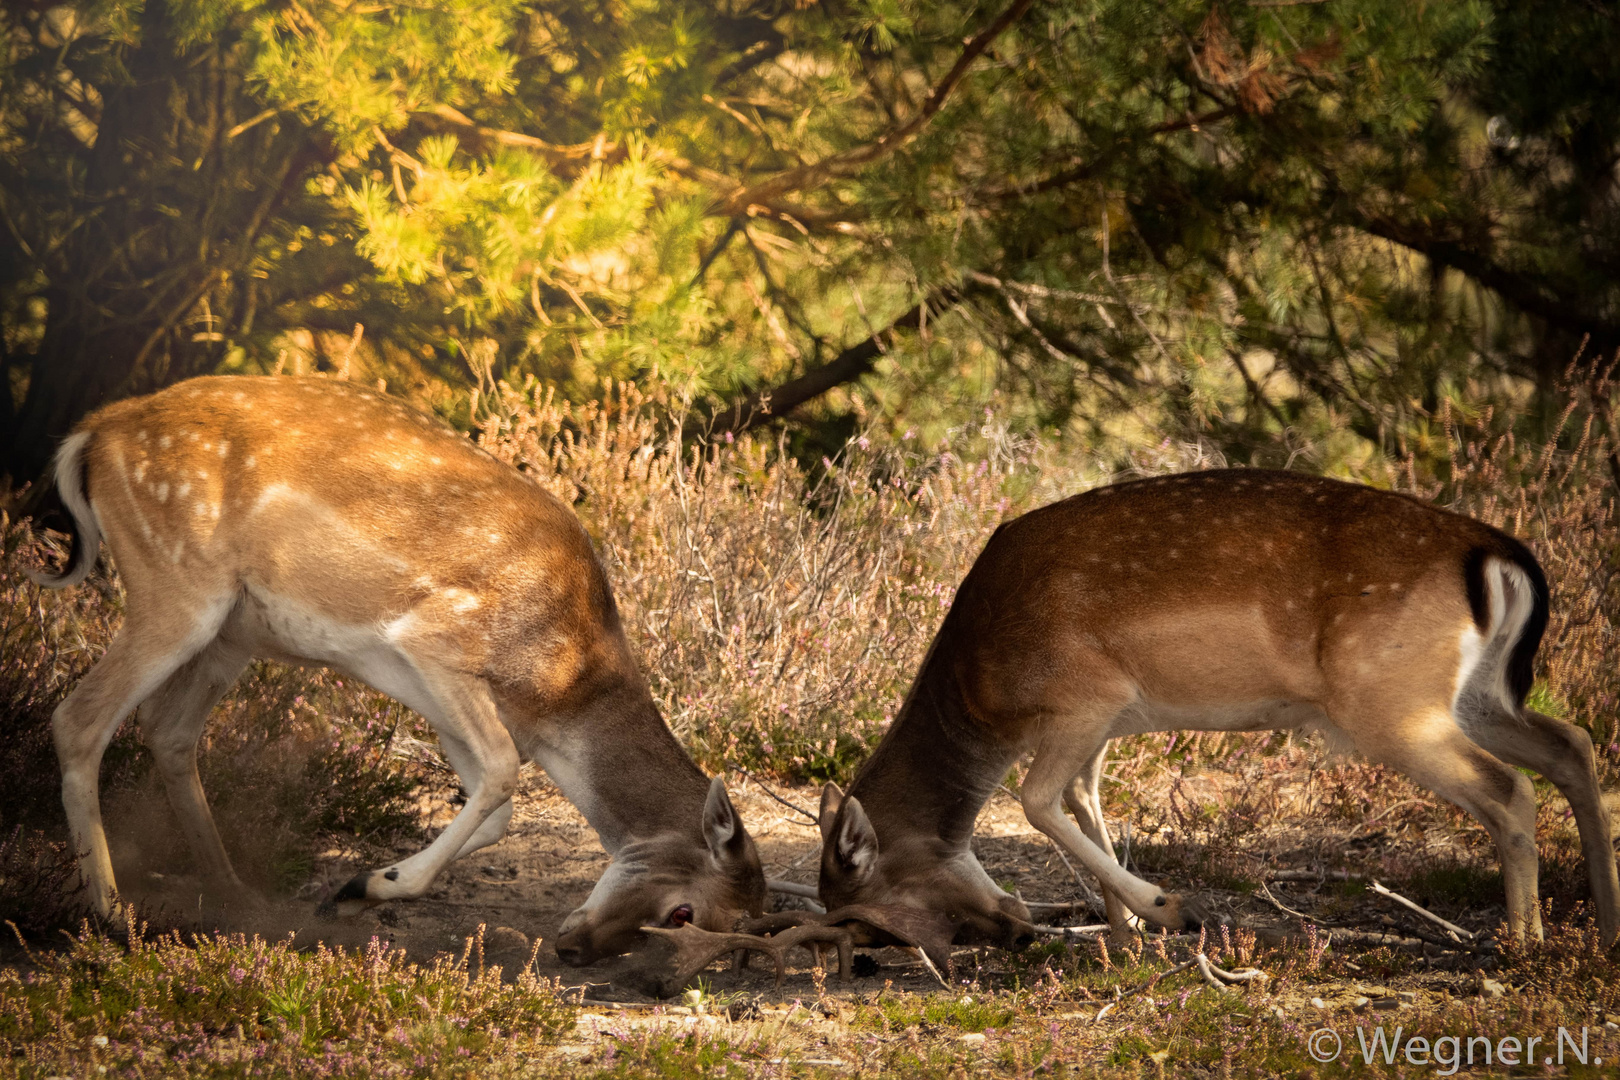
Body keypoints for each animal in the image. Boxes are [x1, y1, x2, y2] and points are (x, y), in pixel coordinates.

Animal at [31, 375, 764, 965]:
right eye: (685, 913)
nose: (576, 950)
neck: (559, 691)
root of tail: (93, 434)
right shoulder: (434, 639)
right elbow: (502, 775)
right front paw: (363, 885)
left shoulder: (440, 697)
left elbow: (493, 804)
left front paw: (356, 892)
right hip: (176, 586)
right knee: (78, 718)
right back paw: (113, 917)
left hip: (232, 632)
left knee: (167, 728)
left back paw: (233, 893)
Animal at [816, 469, 1620, 945]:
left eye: (864, 916)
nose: (1012, 931)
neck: (982, 689)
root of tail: (1498, 555)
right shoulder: (1105, 722)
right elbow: (1083, 798)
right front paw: (1124, 940)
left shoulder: (1088, 696)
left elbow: (1039, 800)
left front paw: (1168, 909)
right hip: (1477, 692)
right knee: (1572, 744)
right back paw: (1604, 930)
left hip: (1391, 700)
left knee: (1511, 788)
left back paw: (1522, 949)